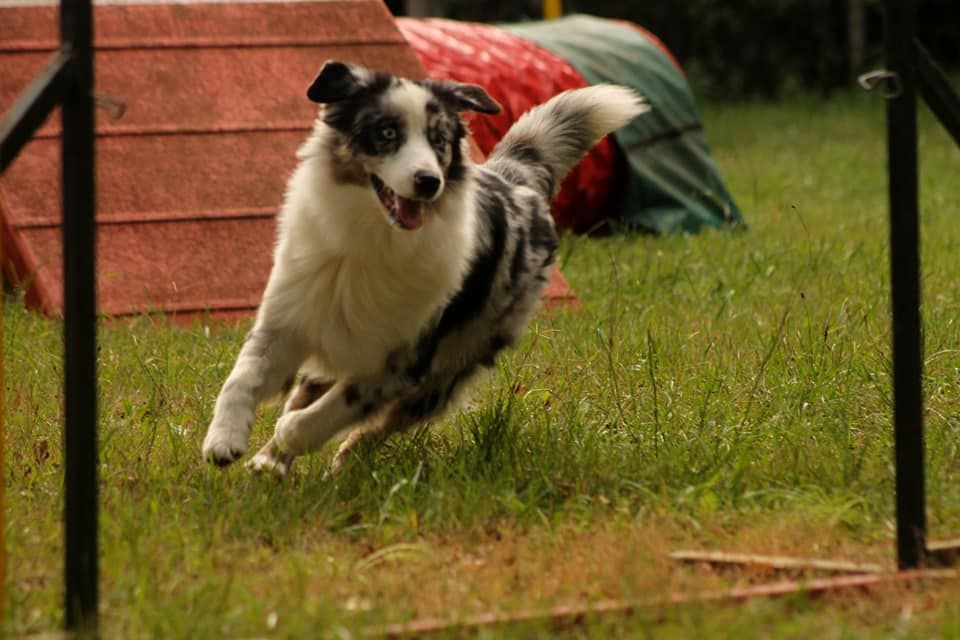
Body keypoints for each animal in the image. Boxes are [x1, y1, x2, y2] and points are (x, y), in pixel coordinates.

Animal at [201, 61, 644, 476]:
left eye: (439, 141)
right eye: (386, 133)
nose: (429, 181)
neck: (373, 233)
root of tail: (513, 181)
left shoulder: (401, 365)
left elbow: (318, 418)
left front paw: (289, 436)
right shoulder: (290, 321)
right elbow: (241, 379)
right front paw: (225, 441)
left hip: (446, 371)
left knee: (377, 427)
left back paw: (339, 463)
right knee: (310, 392)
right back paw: (269, 462)